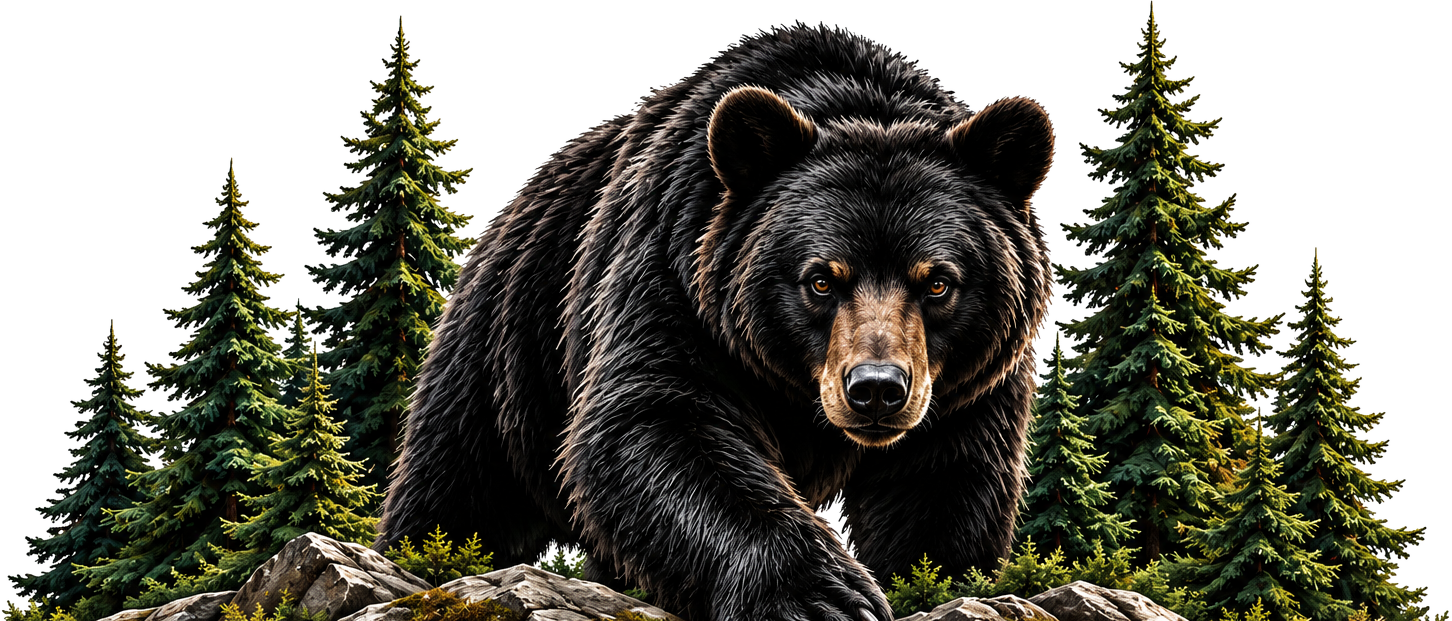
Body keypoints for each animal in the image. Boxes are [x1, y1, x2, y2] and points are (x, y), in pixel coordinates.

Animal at [377, 24, 1054, 621]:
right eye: (820, 279)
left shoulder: (968, 386)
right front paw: (822, 596)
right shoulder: (675, 272)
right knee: (457, 486)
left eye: (937, 281)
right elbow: (658, 422)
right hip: (507, 353)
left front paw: (929, 580)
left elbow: (944, 485)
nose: (877, 390)